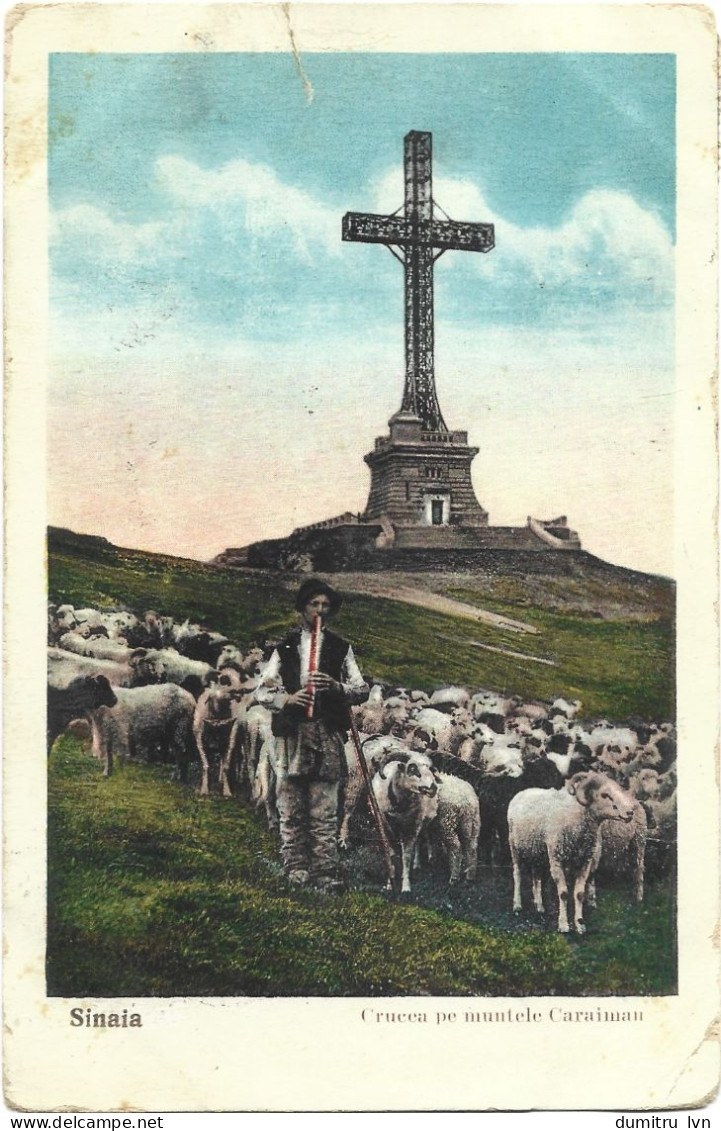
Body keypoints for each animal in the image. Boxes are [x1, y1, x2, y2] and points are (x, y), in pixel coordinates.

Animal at [509, 769, 633, 936]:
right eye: (604, 795)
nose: (630, 812)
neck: (576, 816)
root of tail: (524, 791)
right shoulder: (557, 860)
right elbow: (563, 893)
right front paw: (563, 925)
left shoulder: (584, 862)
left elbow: (579, 894)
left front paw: (580, 925)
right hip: (514, 847)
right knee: (517, 875)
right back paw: (517, 905)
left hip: (538, 853)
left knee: (536, 877)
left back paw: (539, 906)